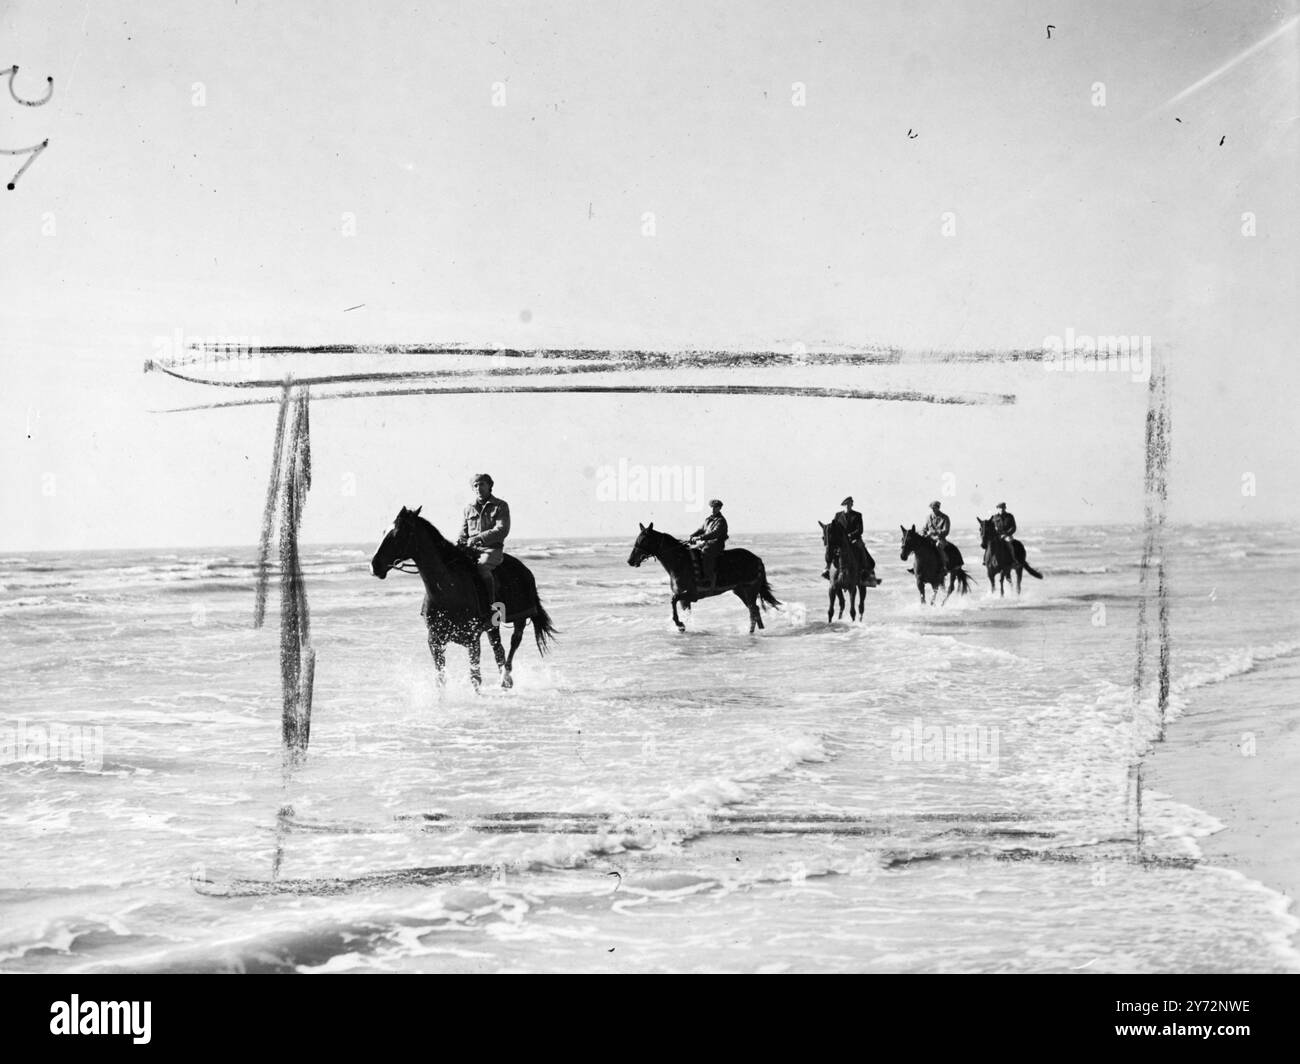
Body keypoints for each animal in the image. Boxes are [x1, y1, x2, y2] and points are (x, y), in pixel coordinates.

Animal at [369, 504, 556, 686]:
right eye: (384, 532)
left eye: (397, 535)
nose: (374, 566)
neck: (448, 590)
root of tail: (525, 570)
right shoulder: (435, 641)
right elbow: (440, 679)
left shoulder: (472, 640)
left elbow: (475, 677)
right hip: (492, 627)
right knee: (499, 650)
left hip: (520, 618)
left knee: (514, 642)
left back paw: (506, 677)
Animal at [624, 522, 774, 629]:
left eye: (644, 540)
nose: (630, 560)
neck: (680, 562)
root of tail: (757, 559)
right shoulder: (685, 600)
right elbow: (681, 608)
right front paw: (683, 625)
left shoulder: (690, 594)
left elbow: (673, 600)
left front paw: (680, 624)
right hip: (740, 591)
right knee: (753, 610)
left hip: (750, 589)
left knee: (753, 610)